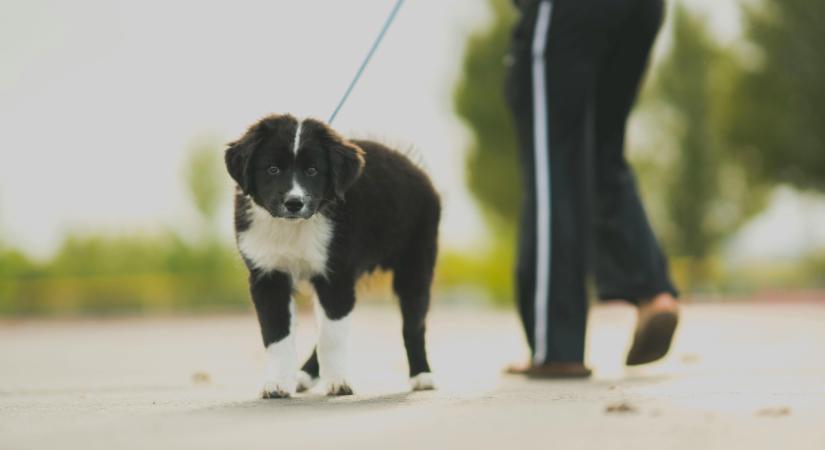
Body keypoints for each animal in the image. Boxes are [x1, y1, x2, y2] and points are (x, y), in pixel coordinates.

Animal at [222, 115, 440, 398]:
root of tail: (412, 165)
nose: (294, 203)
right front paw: (278, 383)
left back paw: (422, 376)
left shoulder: (336, 276)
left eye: (312, 171)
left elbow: (331, 338)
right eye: (272, 169)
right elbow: (277, 335)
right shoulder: (268, 276)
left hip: (416, 264)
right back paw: (303, 376)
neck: (294, 227)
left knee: (414, 324)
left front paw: (337, 382)